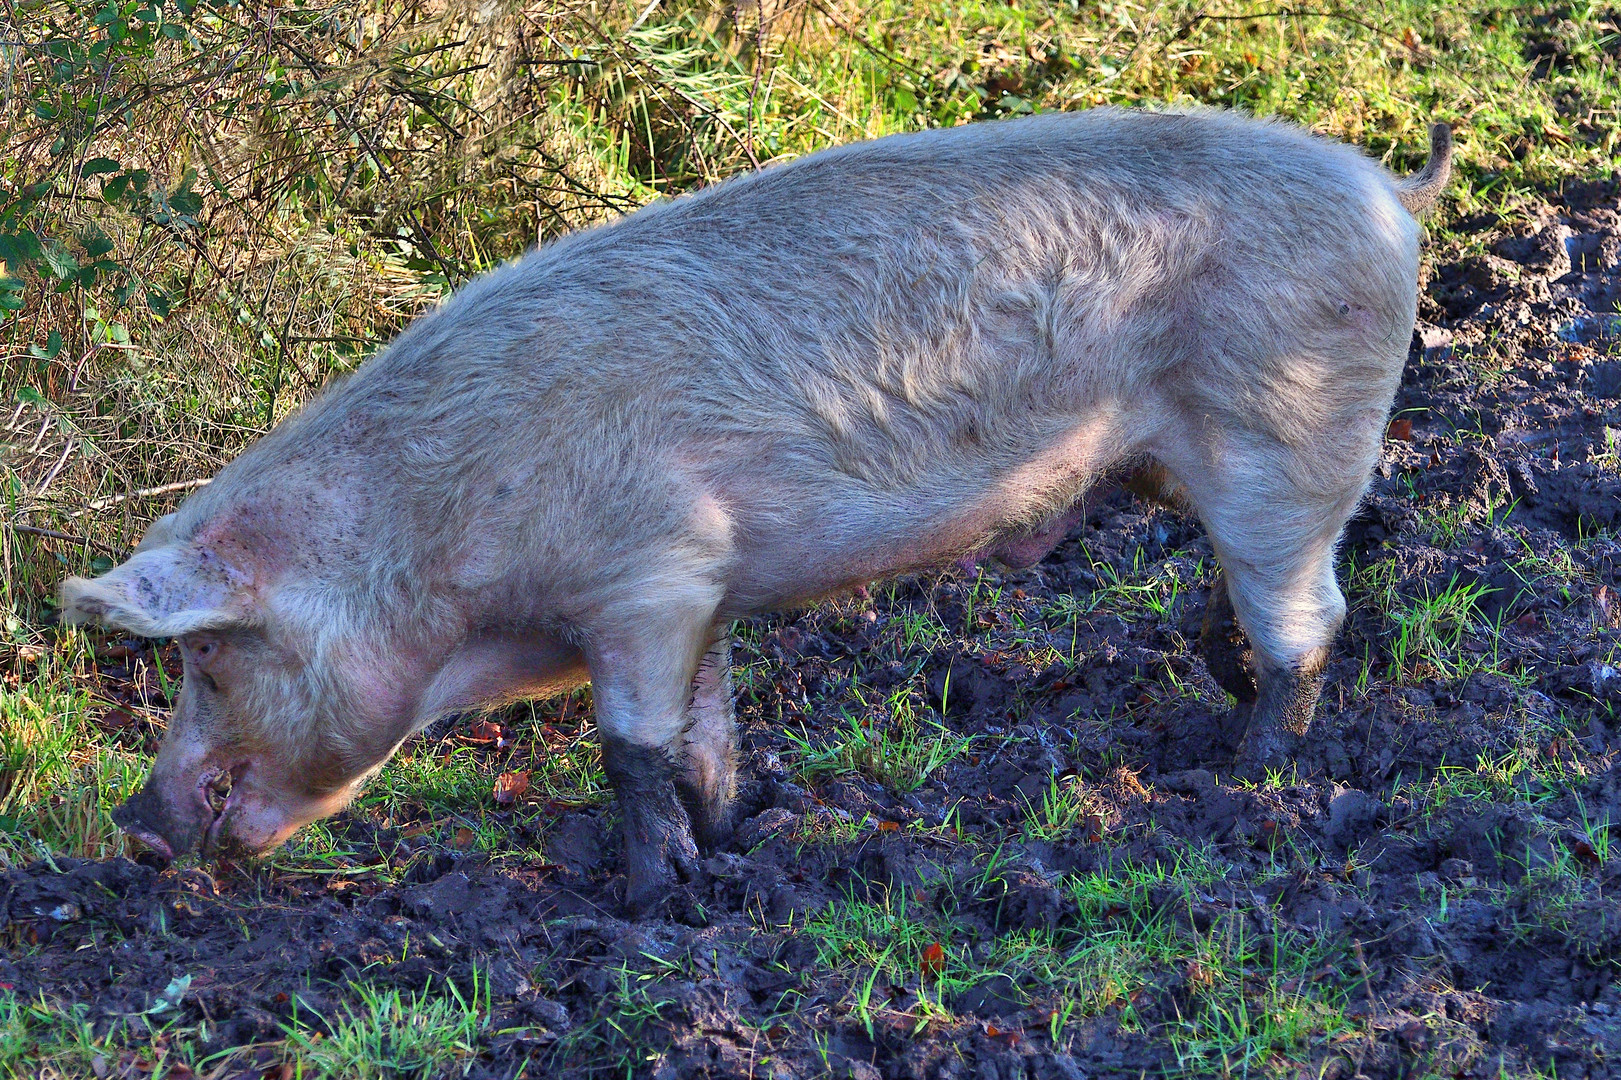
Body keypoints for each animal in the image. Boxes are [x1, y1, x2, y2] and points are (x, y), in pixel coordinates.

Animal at [63, 107, 1458, 908]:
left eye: (205, 661)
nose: (133, 833)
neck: (438, 554)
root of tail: (1389, 189)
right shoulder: (706, 585)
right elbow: (703, 734)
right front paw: (732, 837)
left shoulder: (644, 575)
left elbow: (628, 744)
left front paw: (648, 901)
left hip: (1289, 434)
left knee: (1309, 615)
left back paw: (1246, 776)